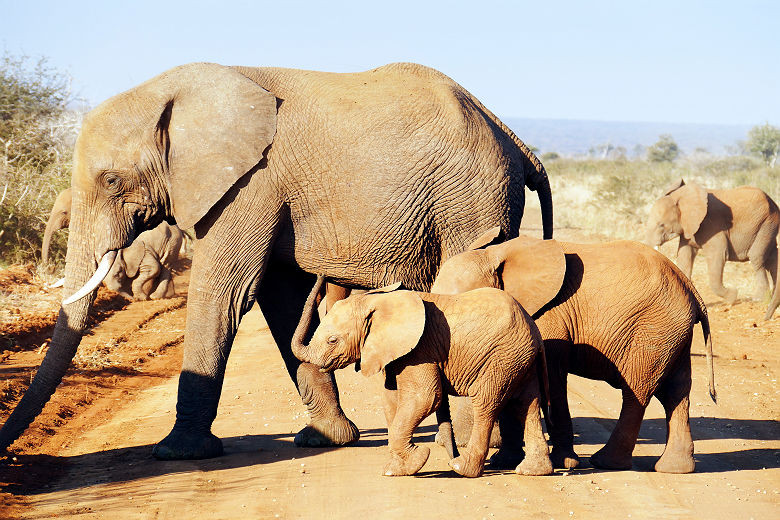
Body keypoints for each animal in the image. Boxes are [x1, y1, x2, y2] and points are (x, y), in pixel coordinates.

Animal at [294, 276, 556, 480]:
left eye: (333, 340)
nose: (321, 276)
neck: (376, 301)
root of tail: (534, 330)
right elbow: (392, 399)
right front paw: (397, 468)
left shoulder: (420, 350)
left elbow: (426, 398)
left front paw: (411, 464)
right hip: (520, 359)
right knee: (527, 404)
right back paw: (533, 471)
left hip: (502, 357)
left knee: (487, 402)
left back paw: (461, 468)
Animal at [430, 230, 716, 474]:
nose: (453, 458)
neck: (495, 255)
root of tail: (692, 290)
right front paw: (505, 461)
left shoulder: (549, 317)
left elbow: (553, 381)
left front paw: (564, 463)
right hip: (672, 335)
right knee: (676, 392)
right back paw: (675, 468)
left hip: (654, 330)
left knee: (637, 391)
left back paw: (606, 462)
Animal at [644, 180, 780, 320]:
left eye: (661, 225)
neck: (681, 196)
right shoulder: (688, 227)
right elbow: (685, 257)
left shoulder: (713, 225)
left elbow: (717, 256)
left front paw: (732, 297)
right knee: (772, 259)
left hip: (766, 224)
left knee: (757, 258)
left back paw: (759, 299)